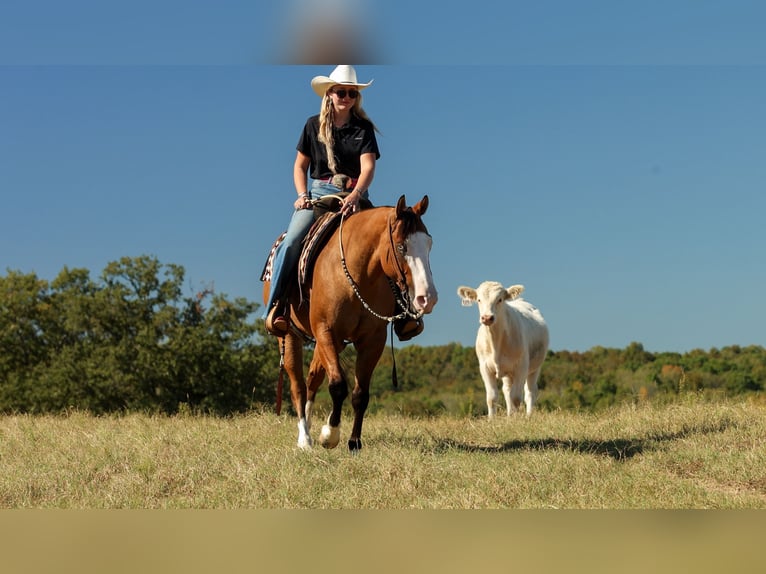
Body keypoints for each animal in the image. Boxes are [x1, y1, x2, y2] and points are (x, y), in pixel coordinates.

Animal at [262, 195, 438, 451]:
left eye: (429, 244)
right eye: (401, 246)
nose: (428, 298)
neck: (357, 274)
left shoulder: (372, 340)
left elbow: (360, 394)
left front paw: (354, 442)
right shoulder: (326, 330)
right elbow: (337, 385)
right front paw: (329, 434)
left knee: (313, 379)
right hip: (289, 336)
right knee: (298, 386)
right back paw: (305, 438)